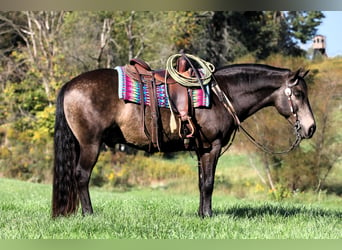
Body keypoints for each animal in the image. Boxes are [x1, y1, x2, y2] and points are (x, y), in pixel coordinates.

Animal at [52, 59, 316, 218]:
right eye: (299, 94)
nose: (311, 128)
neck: (222, 95)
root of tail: (70, 85)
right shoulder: (212, 148)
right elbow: (209, 183)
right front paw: (208, 215)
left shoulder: (201, 150)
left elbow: (201, 183)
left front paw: (200, 214)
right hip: (91, 144)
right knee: (82, 176)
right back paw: (89, 214)